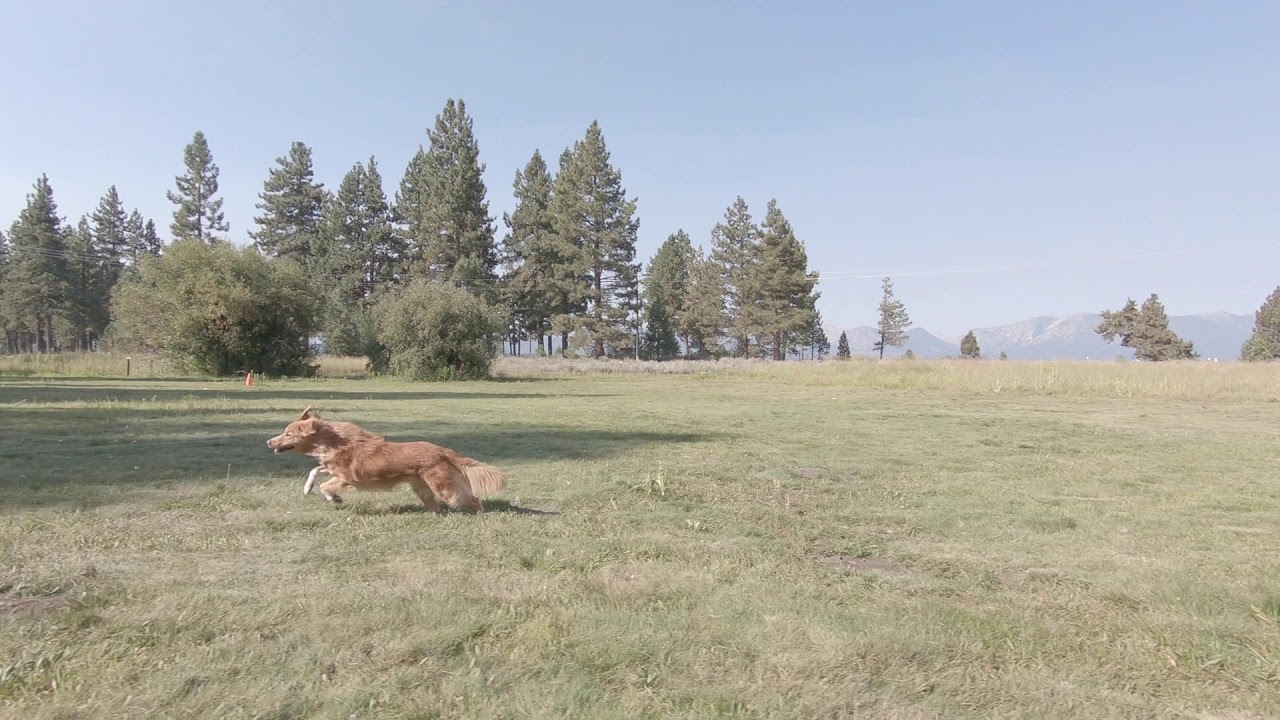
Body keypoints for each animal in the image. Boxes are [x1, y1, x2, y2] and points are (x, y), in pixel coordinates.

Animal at [266, 404, 504, 509]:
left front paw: (334, 498)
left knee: (471, 498)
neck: (334, 442)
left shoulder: (347, 478)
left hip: (444, 487)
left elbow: (326, 486)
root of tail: (442, 450)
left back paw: (478, 513)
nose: (268, 442)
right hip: (422, 488)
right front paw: (308, 488)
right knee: (435, 505)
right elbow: (314, 470)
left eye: (288, 434)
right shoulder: (331, 466)